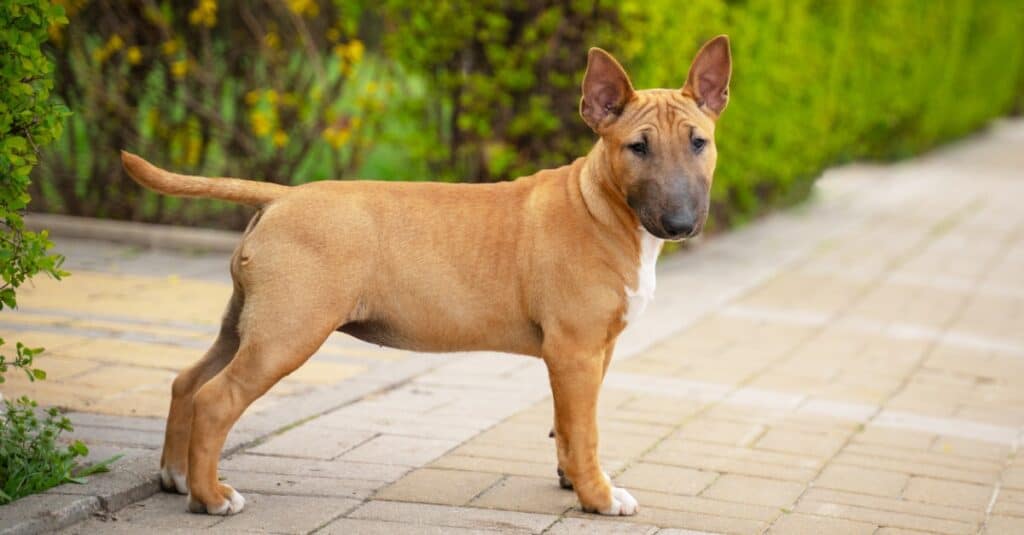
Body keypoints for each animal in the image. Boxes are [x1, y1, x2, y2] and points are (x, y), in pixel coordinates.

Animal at [121, 35, 729, 514]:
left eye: (699, 142)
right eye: (637, 147)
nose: (681, 224)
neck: (599, 205)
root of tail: (281, 196)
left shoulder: (594, 351)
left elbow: (570, 425)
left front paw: (571, 481)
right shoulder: (575, 350)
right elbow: (587, 432)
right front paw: (600, 497)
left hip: (247, 322)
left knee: (187, 381)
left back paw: (177, 478)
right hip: (286, 333)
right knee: (215, 399)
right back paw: (212, 497)